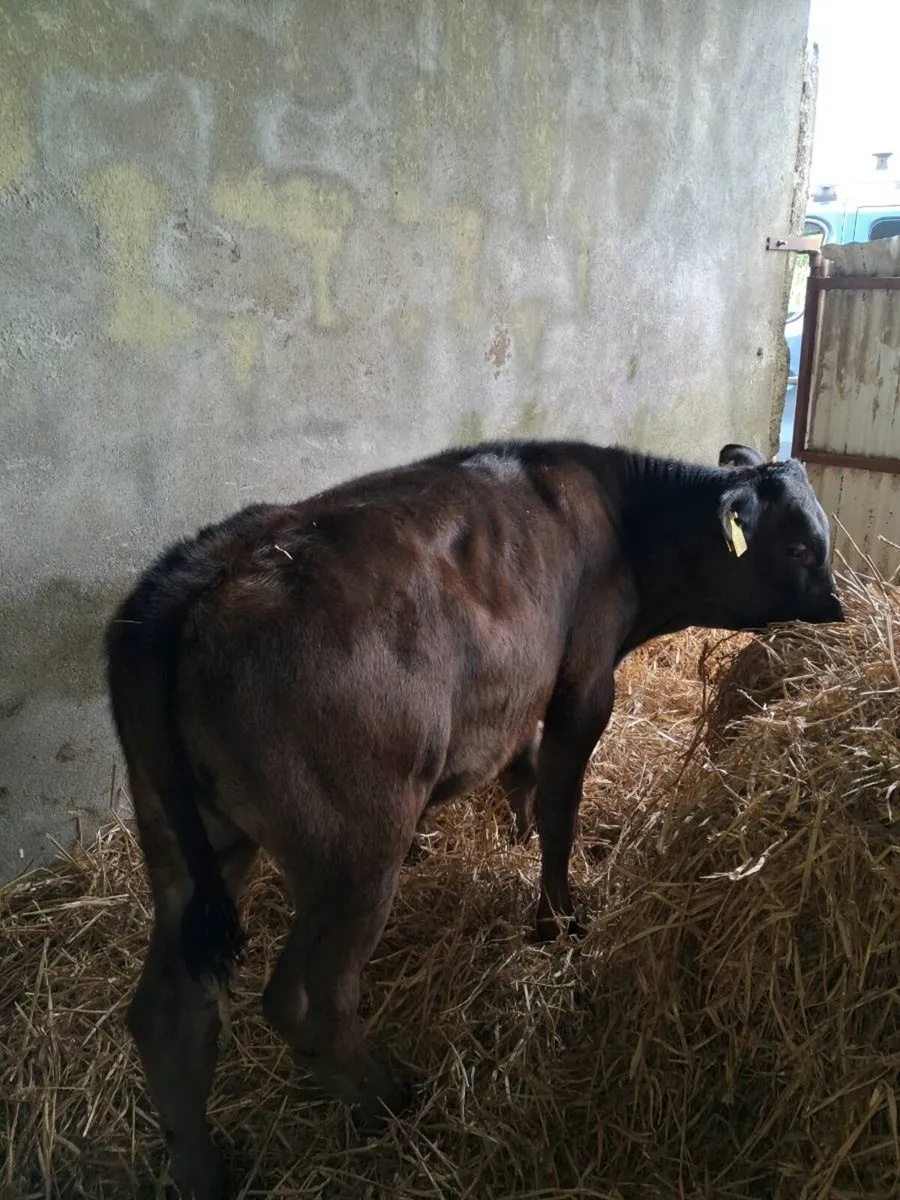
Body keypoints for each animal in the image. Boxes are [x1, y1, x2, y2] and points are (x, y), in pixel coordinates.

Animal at [106, 438, 843, 1198]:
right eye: (800, 547)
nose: (838, 606)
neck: (623, 519)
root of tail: (197, 574)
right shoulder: (585, 679)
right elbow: (559, 803)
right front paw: (557, 918)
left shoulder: (522, 686)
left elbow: (522, 770)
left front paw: (516, 841)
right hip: (355, 847)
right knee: (308, 1001)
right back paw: (387, 1101)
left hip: (186, 837)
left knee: (168, 1014)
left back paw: (205, 1171)